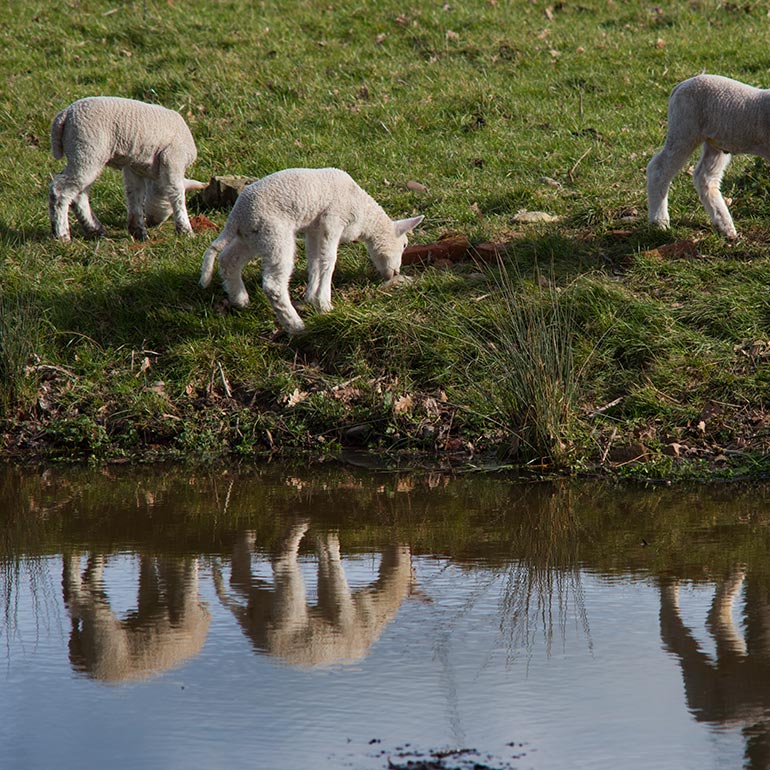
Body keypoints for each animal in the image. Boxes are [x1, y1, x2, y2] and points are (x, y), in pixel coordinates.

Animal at [49, 95, 206, 240]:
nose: (153, 223)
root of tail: (64, 115)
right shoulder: (173, 158)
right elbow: (176, 192)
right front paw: (185, 231)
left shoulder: (134, 167)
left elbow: (134, 194)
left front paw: (138, 231)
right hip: (87, 150)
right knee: (60, 190)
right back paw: (62, 235)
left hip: (83, 154)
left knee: (79, 193)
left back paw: (95, 230)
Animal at [198, 166, 424, 334]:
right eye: (404, 245)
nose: (396, 273)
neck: (362, 212)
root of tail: (236, 215)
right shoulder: (332, 220)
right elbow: (329, 260)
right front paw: (324, 303)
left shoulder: (314, 229)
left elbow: (315, 260)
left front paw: (311, 296)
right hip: (274, 233)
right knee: (273, 285)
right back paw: (296, 325)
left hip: (253, 236)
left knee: (228, 259)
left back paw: (240, 299)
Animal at [644, 75, 770, 238]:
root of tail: (681, 85)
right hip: (683, 128)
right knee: (658, 169)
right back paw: (659, 222)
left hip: (715, 142)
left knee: (704, 178)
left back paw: (725, 226)